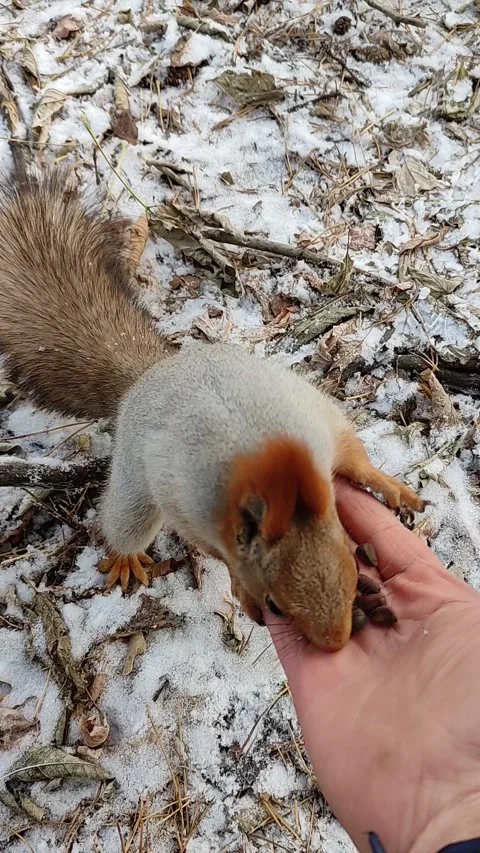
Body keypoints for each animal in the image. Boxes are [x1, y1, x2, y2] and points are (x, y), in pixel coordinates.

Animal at [0, 168, 425, 651]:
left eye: (353, 563)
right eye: (276, 604)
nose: (337, 641)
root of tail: (151, 373)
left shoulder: (319, 423)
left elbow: (354, 458)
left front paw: (389, 486)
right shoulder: (190, 505)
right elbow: (212, 549)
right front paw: (240, 588)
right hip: (135, 482)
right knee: (125, 521)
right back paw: (126, 558)